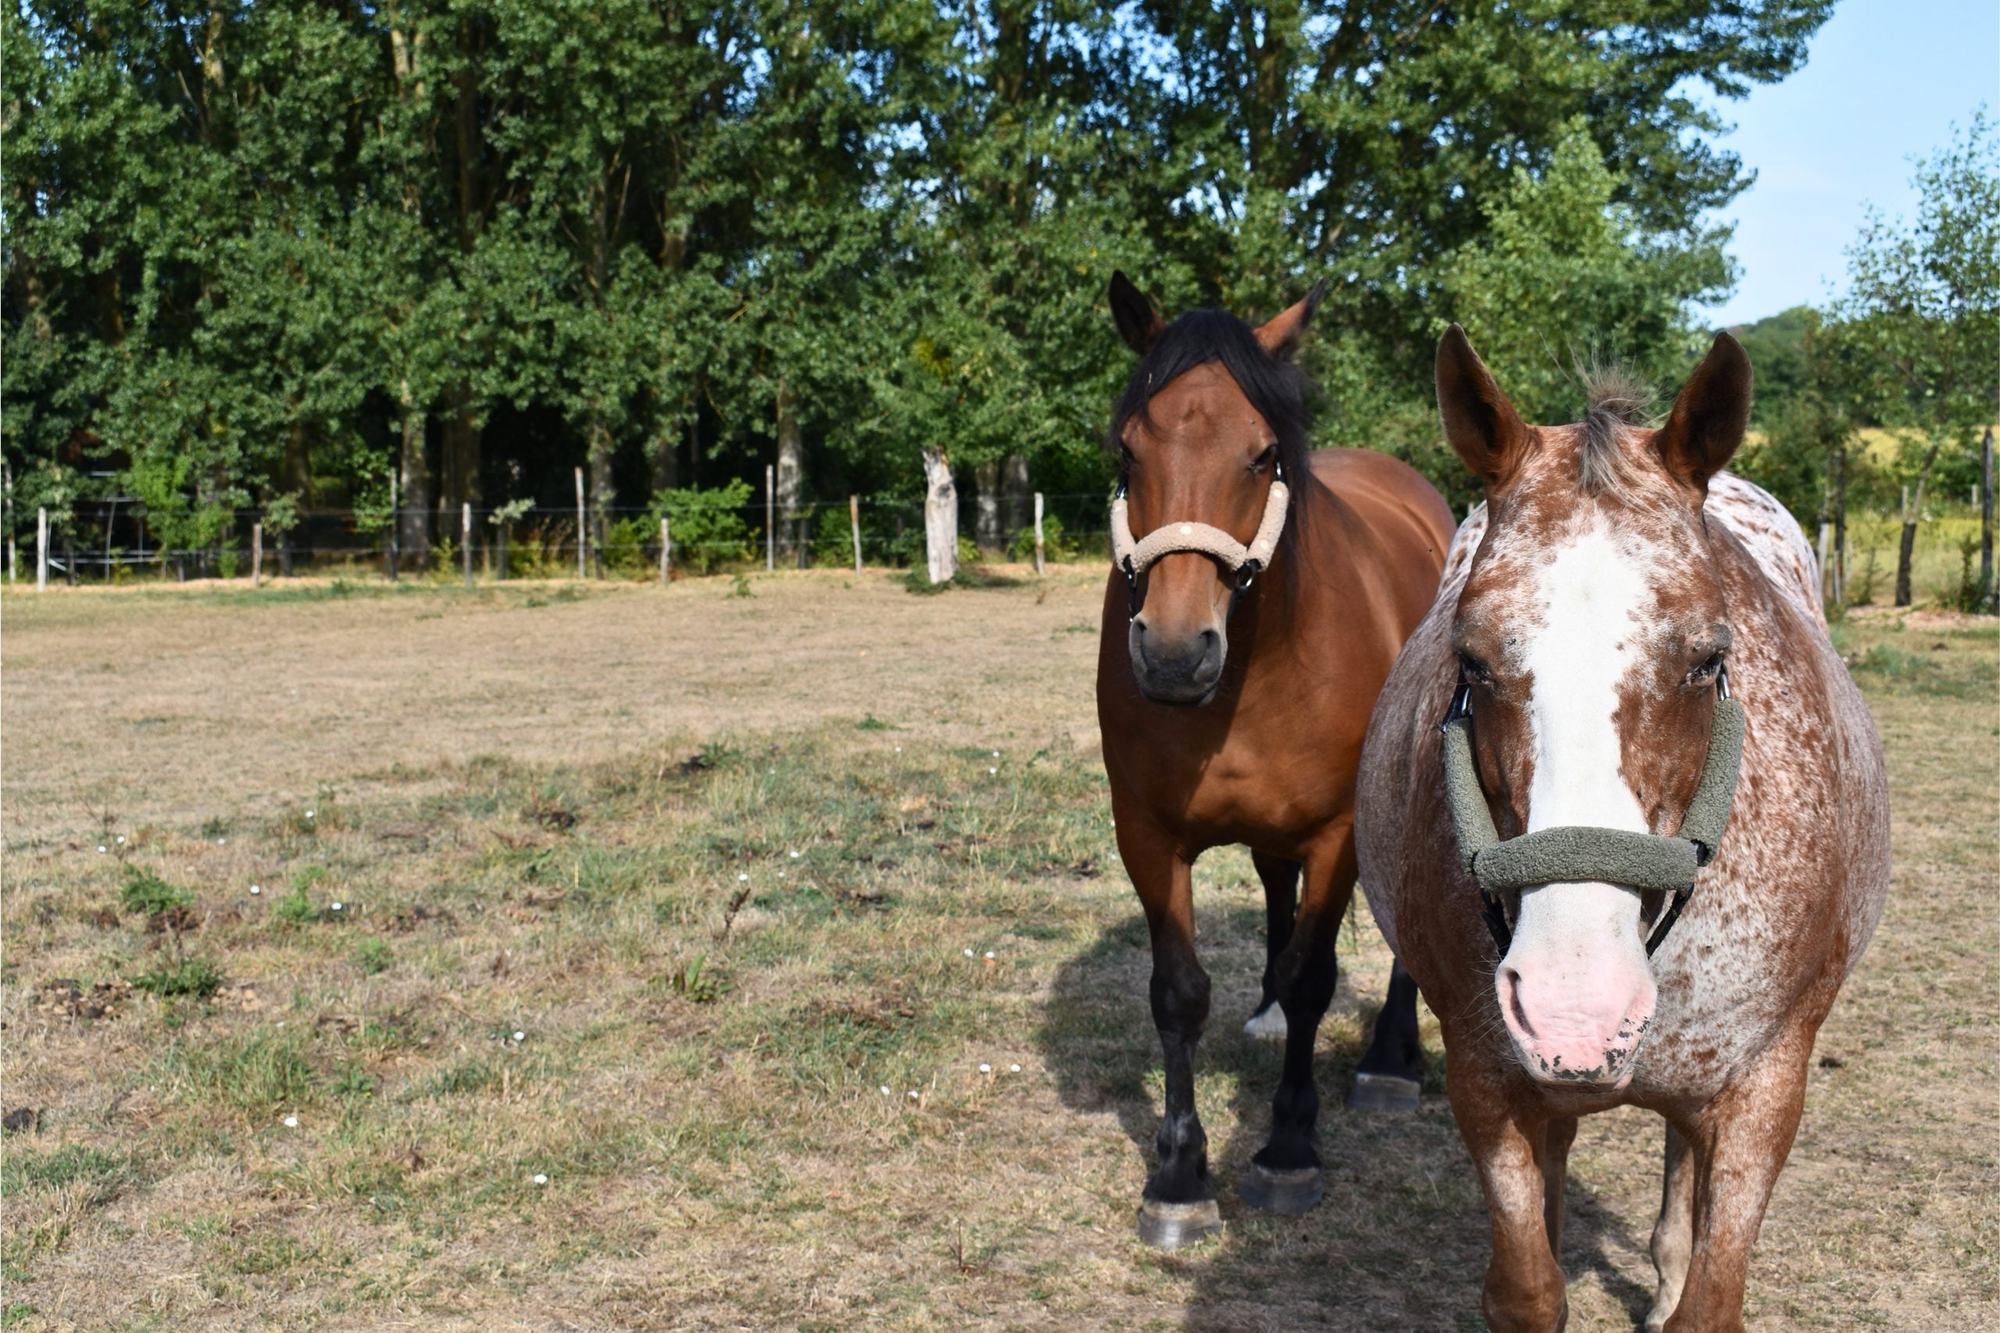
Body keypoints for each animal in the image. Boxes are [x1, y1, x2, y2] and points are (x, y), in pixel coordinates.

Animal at [1095, 272, 1457, 1248]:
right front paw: (1178, 1173)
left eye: (1261, 456)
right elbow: (1178, 992)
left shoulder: (1338, 832)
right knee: (1271, 886)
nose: (1173, 652)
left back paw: (1390, 1061)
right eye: (1127, 450)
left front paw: (1289, 1146)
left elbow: (1312, 978)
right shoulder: (1148, 833)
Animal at [1355, 327, 1890, 1330]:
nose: (1578, 1003)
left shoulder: (1768, 1087)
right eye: (1471, 661)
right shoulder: (1489, 1082)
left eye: (1708, 659)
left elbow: (1710, 1297)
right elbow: (1529, 1285)